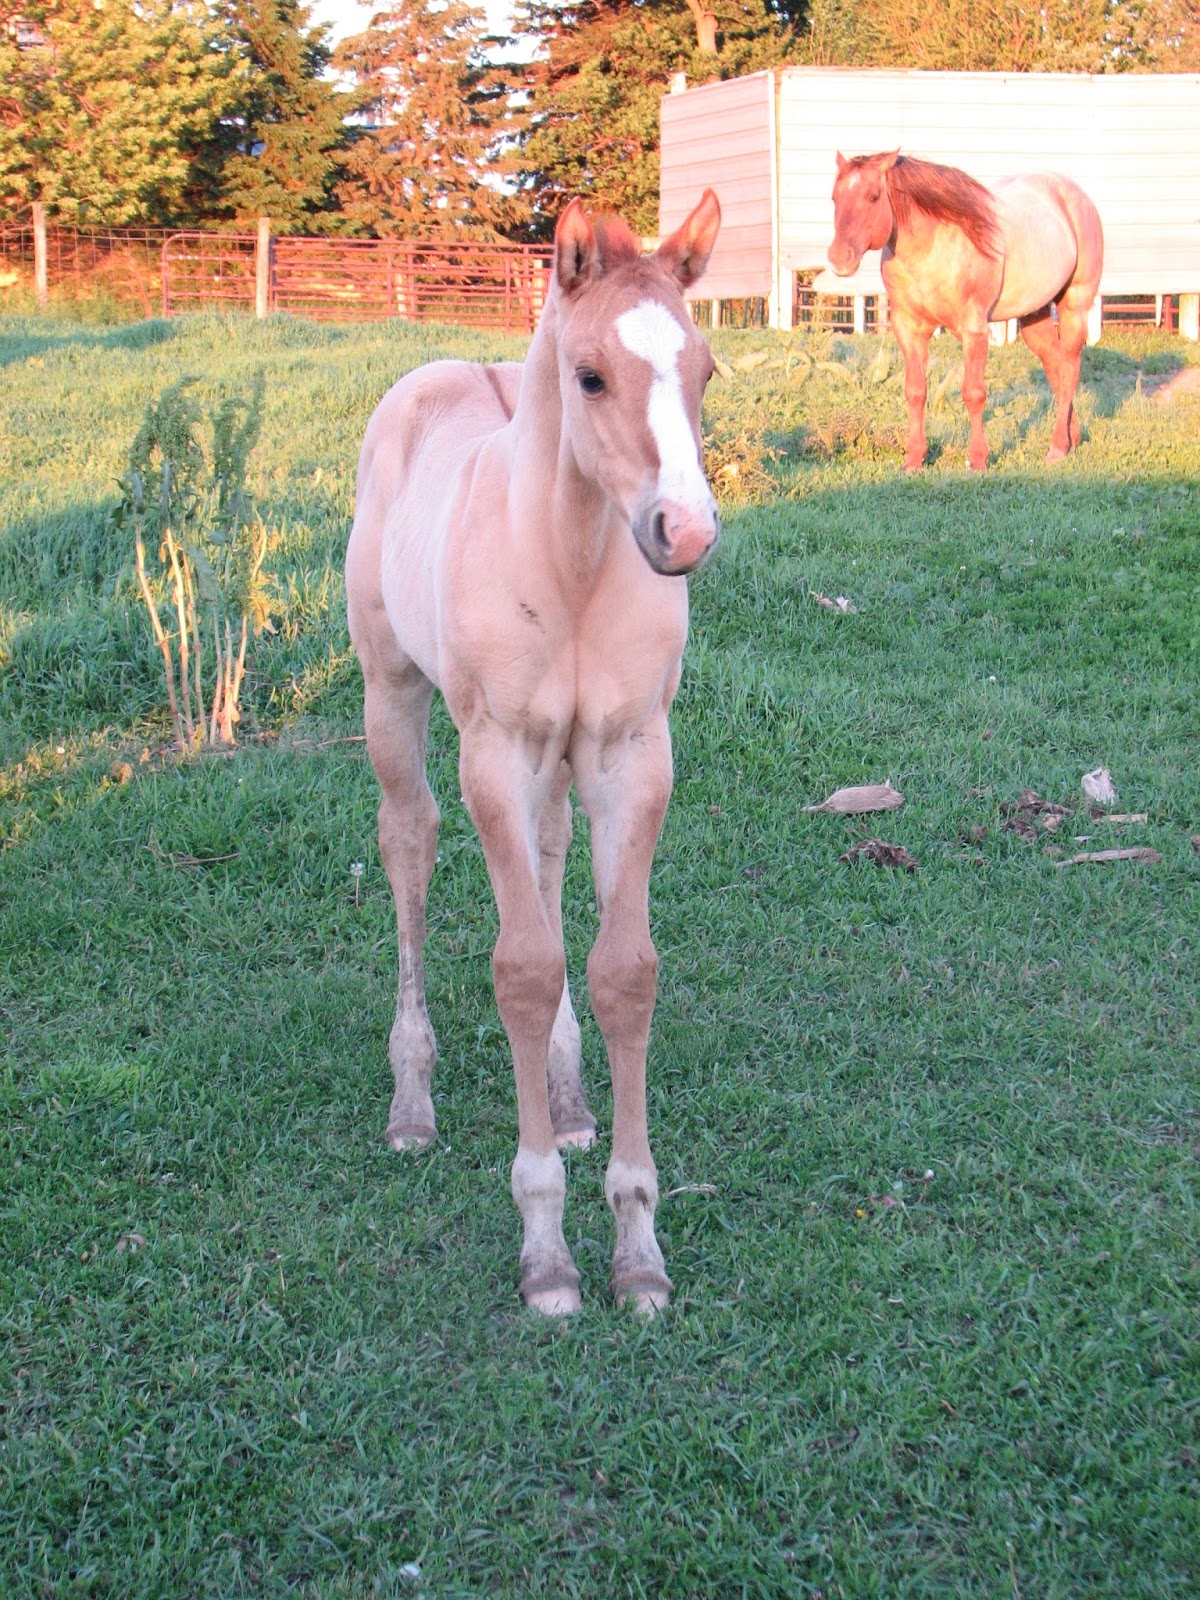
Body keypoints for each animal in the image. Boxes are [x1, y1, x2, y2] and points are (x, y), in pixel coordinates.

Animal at [345, 190, 722, 1316]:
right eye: (589, 375)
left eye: (704, 372)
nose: (685, 531)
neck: (572, 557)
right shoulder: (496, 753)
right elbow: (523, 968)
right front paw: (548, 1255)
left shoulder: (634, 754)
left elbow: (620, 971)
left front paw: (638, 1249)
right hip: (393, 694)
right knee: (409, 846)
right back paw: (413, 1103)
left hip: (562, 763)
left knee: (552, 864)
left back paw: (567, 1100)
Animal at [827, 151, 1104, 471]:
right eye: (834, 197)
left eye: (873, 197)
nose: (839, 258)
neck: (932, 250)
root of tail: (1074, 195)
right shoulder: (908, 329)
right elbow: (915, 391)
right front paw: (914, 458)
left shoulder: (974, 329)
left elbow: (974, 393)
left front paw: (979, 459)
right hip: (1035, 315)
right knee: (1055, 367)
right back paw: (1071, 436)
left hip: (1074, 304)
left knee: (1069, 368)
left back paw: (1057, 448)